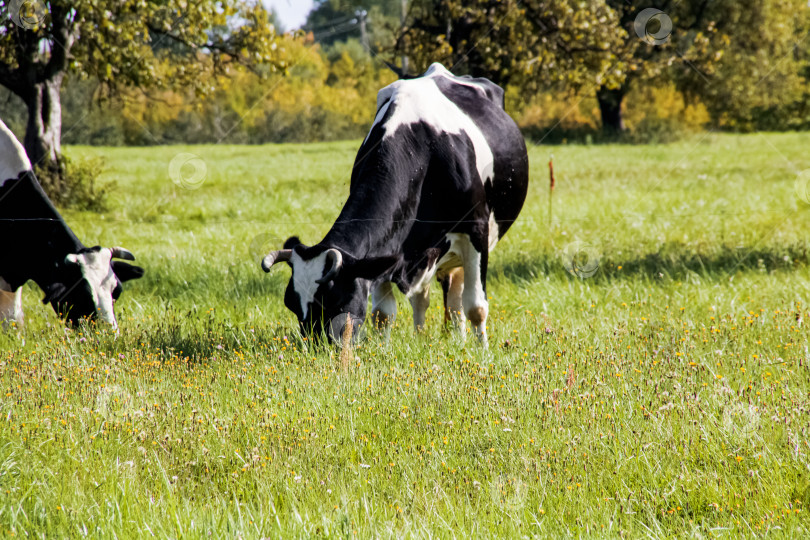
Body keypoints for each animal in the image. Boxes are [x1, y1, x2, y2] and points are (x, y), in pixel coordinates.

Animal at [260, 61, 532, 344]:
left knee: (458, 298)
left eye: (332, 299)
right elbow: (382, 313)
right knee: (432, 297)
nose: (316, 347)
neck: (422, 147)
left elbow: (476, 307)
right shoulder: (387, 247)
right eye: (291, 304)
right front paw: (383, 348)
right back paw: (430, 337)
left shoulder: (476, 230)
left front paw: (482, 349)